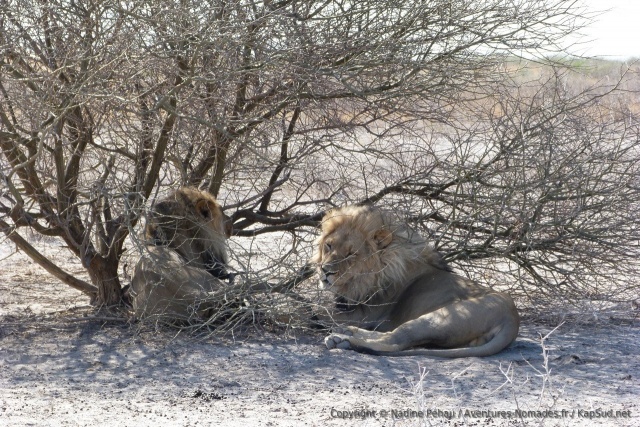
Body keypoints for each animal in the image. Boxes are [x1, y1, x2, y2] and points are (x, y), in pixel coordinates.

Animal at [312, 205, 520, 357]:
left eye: (350, 254)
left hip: (439, 317)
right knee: (388, 334)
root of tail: (512, 318)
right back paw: (347, 332)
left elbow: (317, 312)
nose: (325, 271)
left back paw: (343, 340)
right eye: (329, 245)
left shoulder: (366, 313)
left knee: (395, 341)